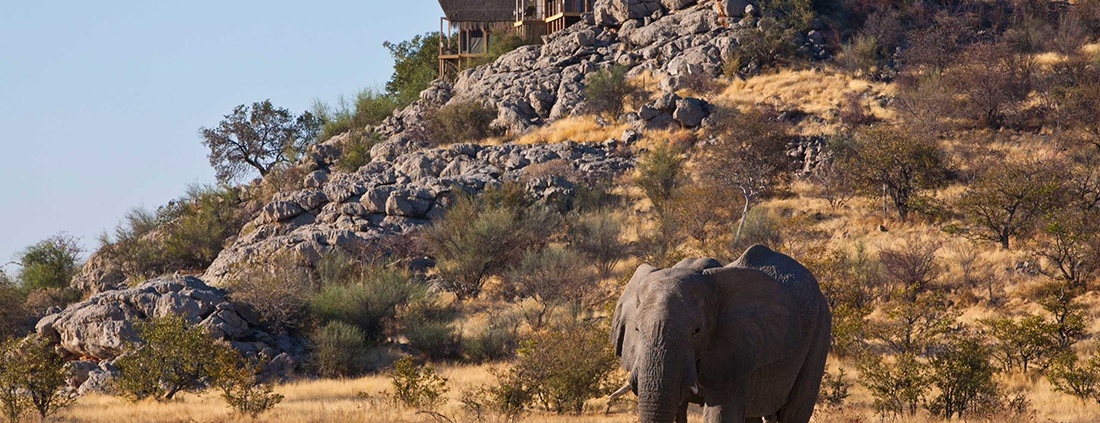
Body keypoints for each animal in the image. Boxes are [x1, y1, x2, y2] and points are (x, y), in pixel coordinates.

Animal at [607, 243, 827, 421]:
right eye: (637, 329)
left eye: (696, 331)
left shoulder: (736, 349)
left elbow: (721, 414)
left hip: (820, 328)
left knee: (795, 411)